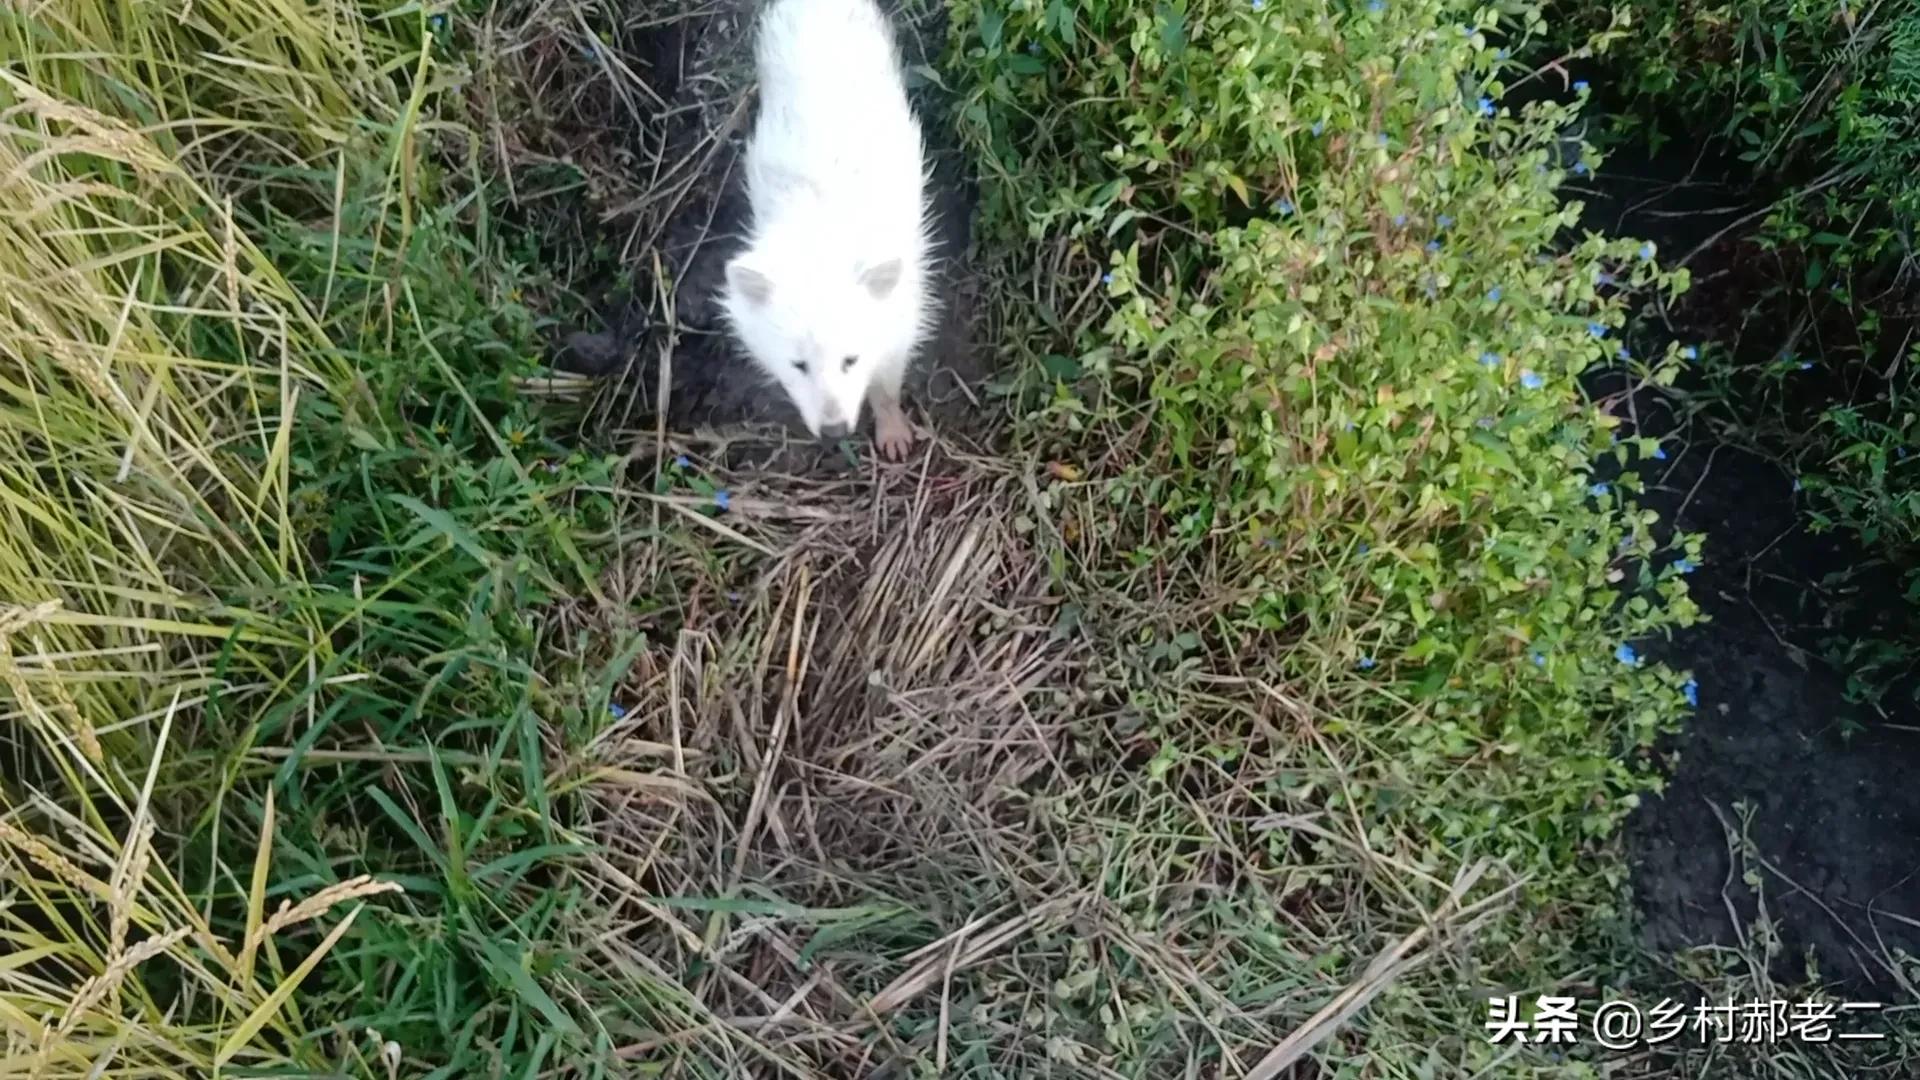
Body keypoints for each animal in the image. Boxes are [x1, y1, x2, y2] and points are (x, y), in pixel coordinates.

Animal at [718, 0, 933, 457]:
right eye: (798, 364)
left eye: (850, 359)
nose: (834, 431)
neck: (820, 234)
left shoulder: (901, 318)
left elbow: (887, 384)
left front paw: (893, 431)